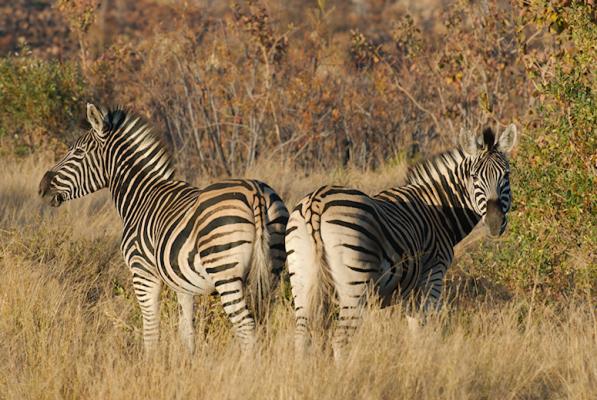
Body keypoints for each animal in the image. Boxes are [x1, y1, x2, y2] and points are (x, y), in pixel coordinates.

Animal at [37, 104, 288, 354]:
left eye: (78, 152)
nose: (42, 188)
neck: (141, 196)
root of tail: (255, 191)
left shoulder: (142, 272)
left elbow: (150, 329)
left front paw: (151, 360)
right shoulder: (183, 283)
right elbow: (186, 330)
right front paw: (188, 360)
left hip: (224, 270)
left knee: (245, 326)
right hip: (270, 269)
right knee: (264, 320)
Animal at [286, 123, 516, 358]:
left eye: (506, 175)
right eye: (474, 176)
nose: (495, 222)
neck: (439, 212)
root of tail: (316, 202)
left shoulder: (410, 294)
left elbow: (415, 333)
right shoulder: (432, 276)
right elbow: (426, 333)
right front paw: (424, 361)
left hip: (301, 276)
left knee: (301, 337)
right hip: (354, 283)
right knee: (341, 340)